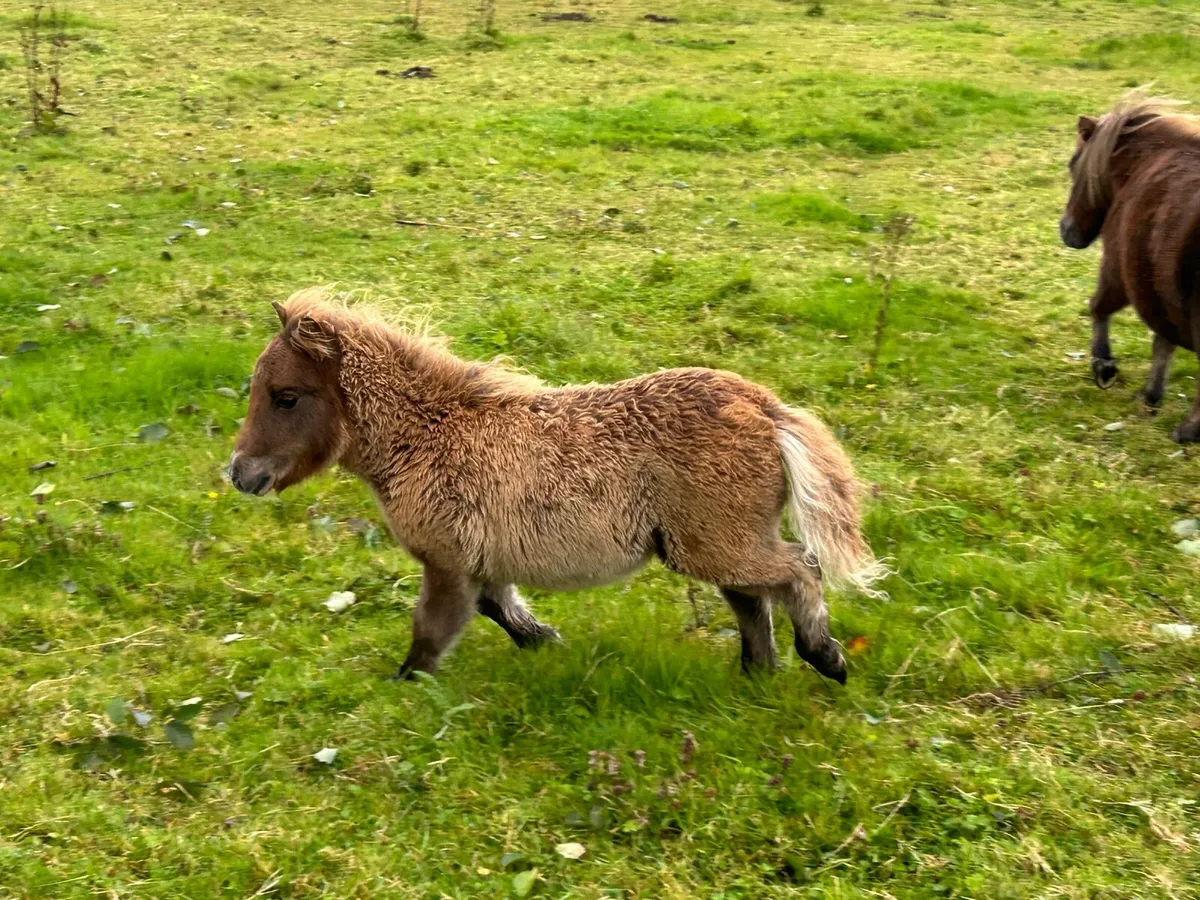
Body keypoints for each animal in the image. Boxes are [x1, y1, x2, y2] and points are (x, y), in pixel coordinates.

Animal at [229, 289, 887, 684]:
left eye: (285, 396)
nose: (239, 473)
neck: (428, 434)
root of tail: (768, 410)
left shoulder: (446, 560)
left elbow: (433, 631)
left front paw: (401, 687)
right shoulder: (478, 558)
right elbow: (498, 606)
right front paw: (546, 641)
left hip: (717, 543)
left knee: (798, 570)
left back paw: (825, 658)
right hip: (711, 543)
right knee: (753, 599)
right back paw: (758, 674)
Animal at [1059, 91, 1200, 442]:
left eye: (1072, 163)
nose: (1066, 230)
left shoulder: (1121, 273)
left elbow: (1098, 308)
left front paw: (1104, 365)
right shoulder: (1162, 295)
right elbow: (1163, 344)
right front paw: (1151, 394)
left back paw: (1186, 432)